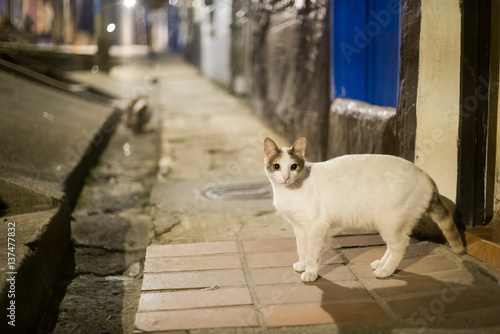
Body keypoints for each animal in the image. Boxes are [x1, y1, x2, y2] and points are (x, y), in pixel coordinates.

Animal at [264, 137, 462, 280]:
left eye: (293, 166)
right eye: (277, 166)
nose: (285, 177)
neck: (290, 190)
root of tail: (427, 178)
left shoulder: (315, 227)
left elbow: (312, 253)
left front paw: (311, 272)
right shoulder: (299, 227)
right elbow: (302, 249)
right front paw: (302, 264)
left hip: (390, 222)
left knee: (400, 246)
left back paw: (386, 271)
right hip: (392, 223)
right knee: (394, 245)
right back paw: (382, 264)